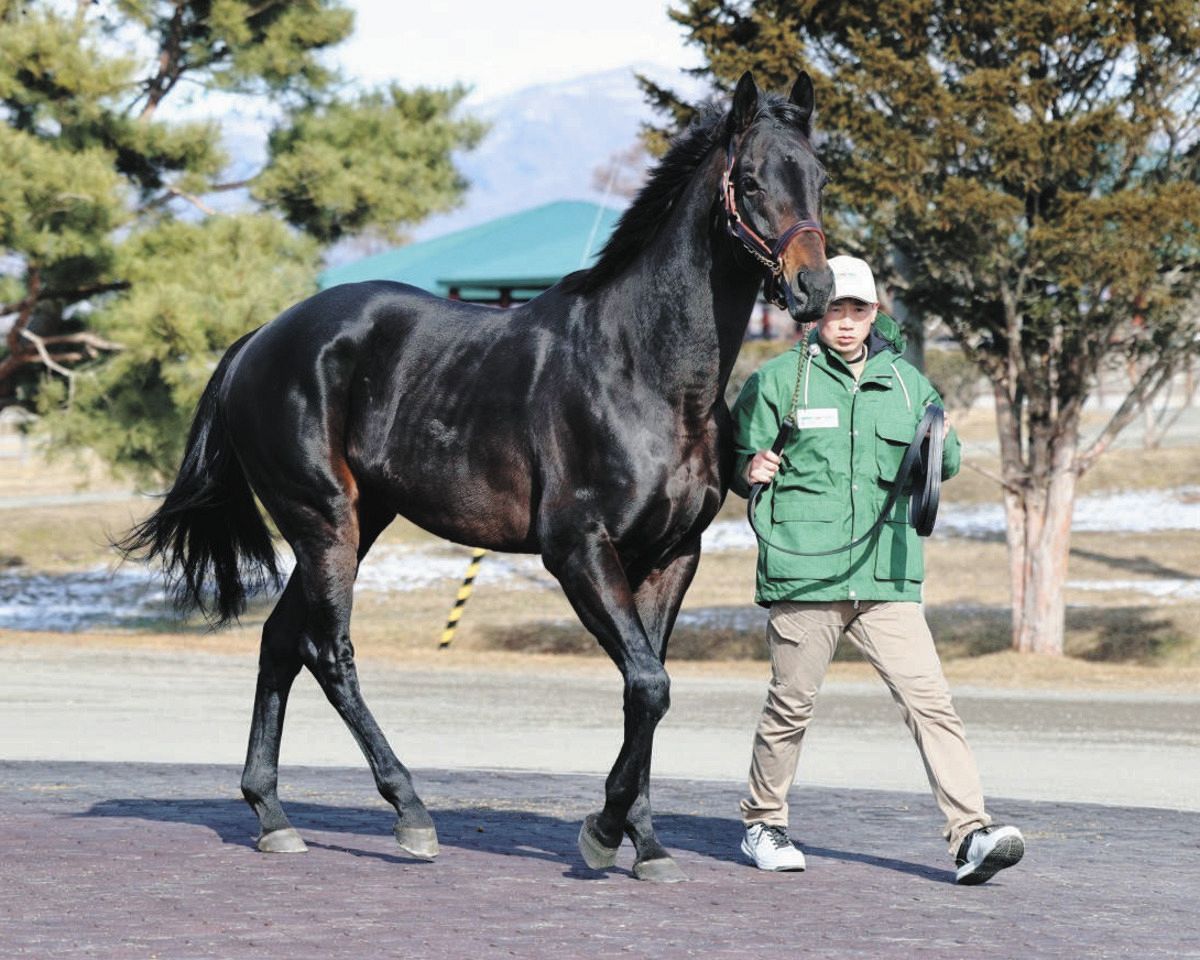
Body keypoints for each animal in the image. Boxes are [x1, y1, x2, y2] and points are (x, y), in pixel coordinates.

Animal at [122, 70, 832, 883]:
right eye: (749, 181)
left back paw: (273, 815)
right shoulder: (578, 552)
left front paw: (645, 844)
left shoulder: (671, 556)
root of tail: (259, 341)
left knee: (279, 642)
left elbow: (646, 689)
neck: (642, 369)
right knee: (327, 653)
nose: (814, 287)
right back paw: (410, 813)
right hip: (323, 521)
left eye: (818, 178)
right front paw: (602, 831)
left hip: (357, 523)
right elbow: (649, 685)